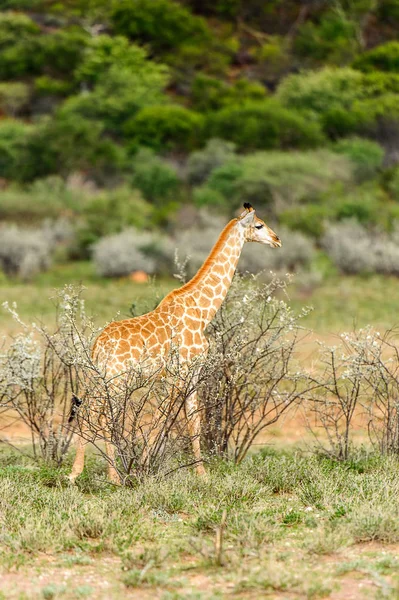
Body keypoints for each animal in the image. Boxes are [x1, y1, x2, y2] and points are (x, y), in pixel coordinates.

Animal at [69, 204, 282, 486]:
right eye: (259, 225)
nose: (277, 240)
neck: (203, 311)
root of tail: (98, 346)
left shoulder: (184, 374)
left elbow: (190, 420)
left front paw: (199, 473)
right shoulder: (182, 371)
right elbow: (171, 419)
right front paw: (144, 468)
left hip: (98, 377)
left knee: (93, 413)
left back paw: (92, 474)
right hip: (116, 380)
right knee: (98, 414)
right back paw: (97, 475)